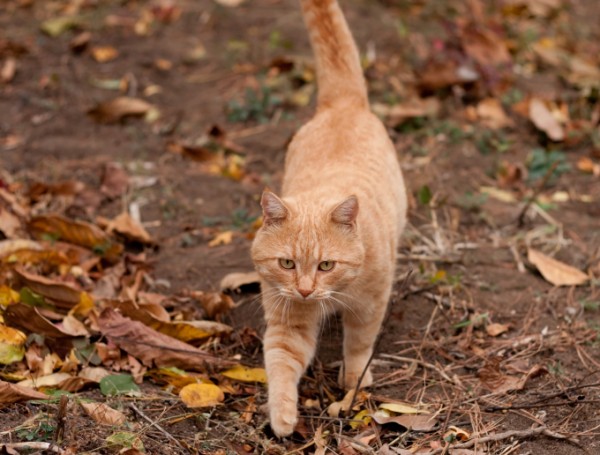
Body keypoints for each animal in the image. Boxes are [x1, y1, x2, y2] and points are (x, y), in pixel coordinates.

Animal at [248, 0, 408, 438]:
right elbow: (281, 363)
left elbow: (359, 346)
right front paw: (283, 417)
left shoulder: (371, 304)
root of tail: (343, 103)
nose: (305, 290)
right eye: (287, 263)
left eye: (326, 265)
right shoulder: (288, 320)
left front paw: (352, 384)